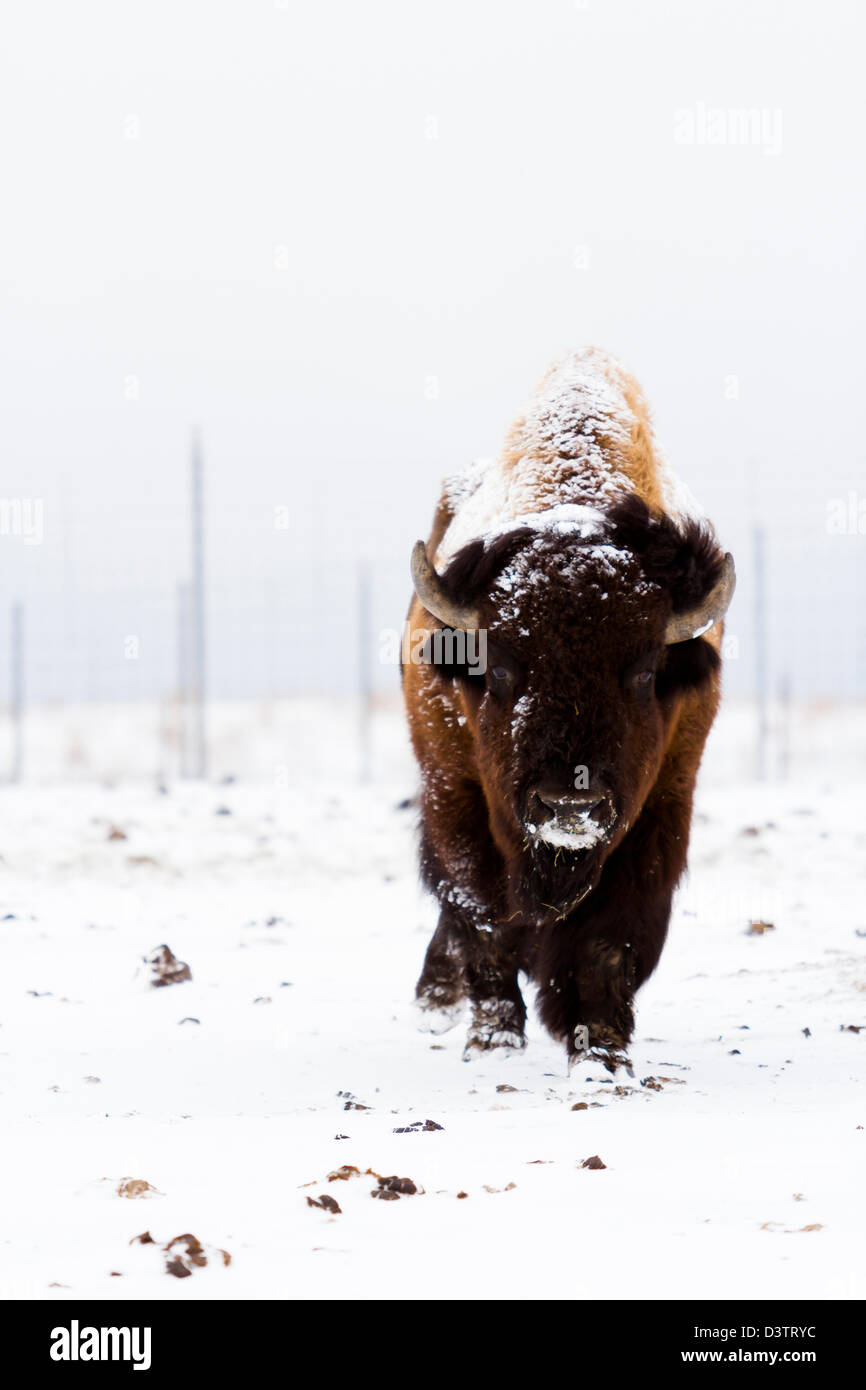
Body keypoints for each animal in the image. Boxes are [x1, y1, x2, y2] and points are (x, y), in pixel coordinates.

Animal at [401, 348, 735, 1070]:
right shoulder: (455, 792)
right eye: (499, 668)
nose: (569, 805)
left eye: (644, 672)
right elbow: (480, 914)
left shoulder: (661, 807)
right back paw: (436, 1002)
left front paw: (603, 1050)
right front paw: (492, 1041)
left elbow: (611, 938)